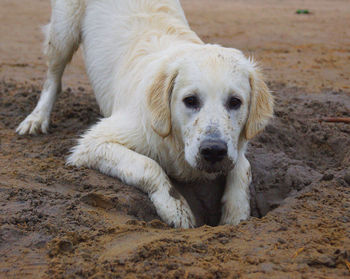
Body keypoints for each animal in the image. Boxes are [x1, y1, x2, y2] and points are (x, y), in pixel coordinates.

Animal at [16, 0, 274, 230]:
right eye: (190, 100)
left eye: (235, 102)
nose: (213, 151)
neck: (176, 143)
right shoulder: (92, 144)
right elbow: (148, 165)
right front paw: (176, 208)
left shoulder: (236, 146)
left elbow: (243, 166)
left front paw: (236, 213)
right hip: (63, 31)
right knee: (53, 77)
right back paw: (36, 119)